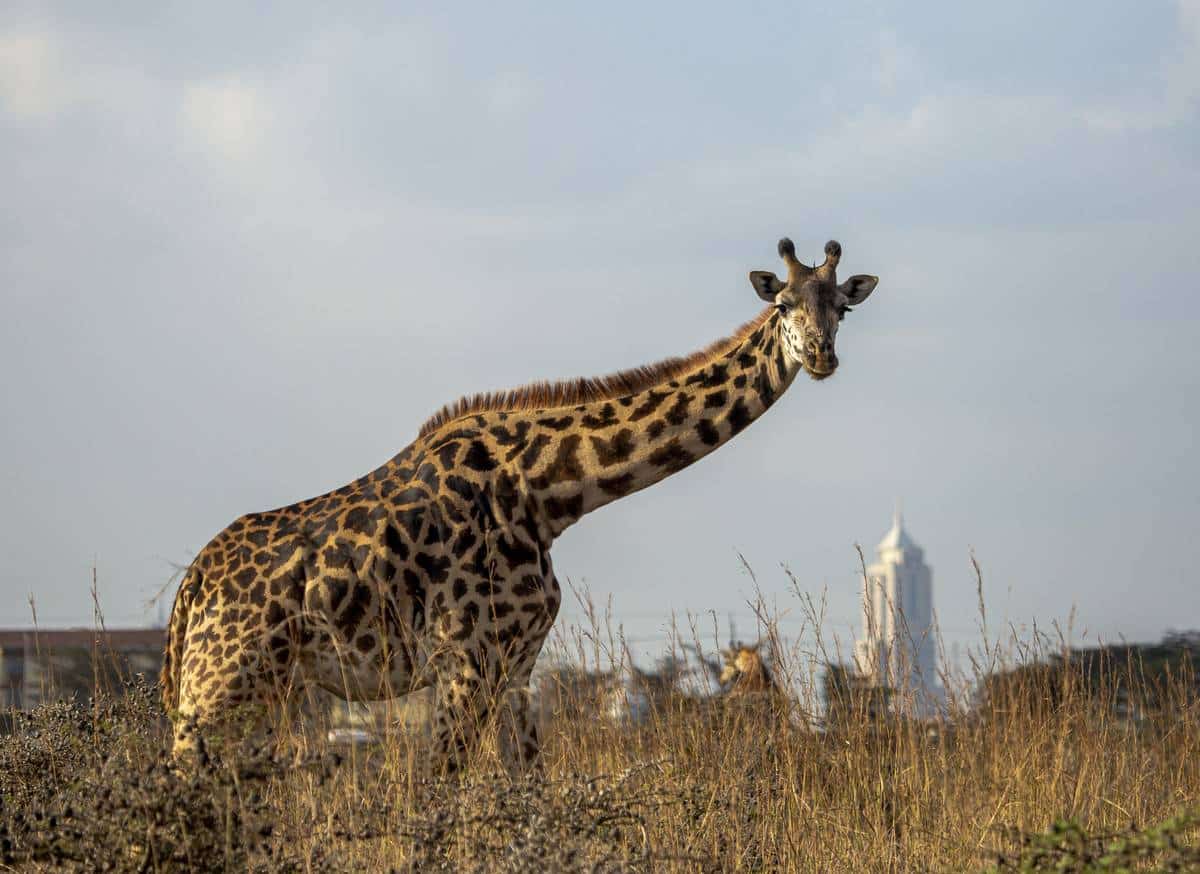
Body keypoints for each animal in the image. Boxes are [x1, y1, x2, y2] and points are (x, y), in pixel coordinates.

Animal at [159, 237, 878, 773]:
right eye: (782, 304)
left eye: (842, 308)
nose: (821, 356)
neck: (551, 493)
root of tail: (192, 588)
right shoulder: (466, 662)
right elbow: (440, 790)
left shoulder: (516, 665)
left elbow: (529, 786)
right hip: (222, 689)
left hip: (260, 693)